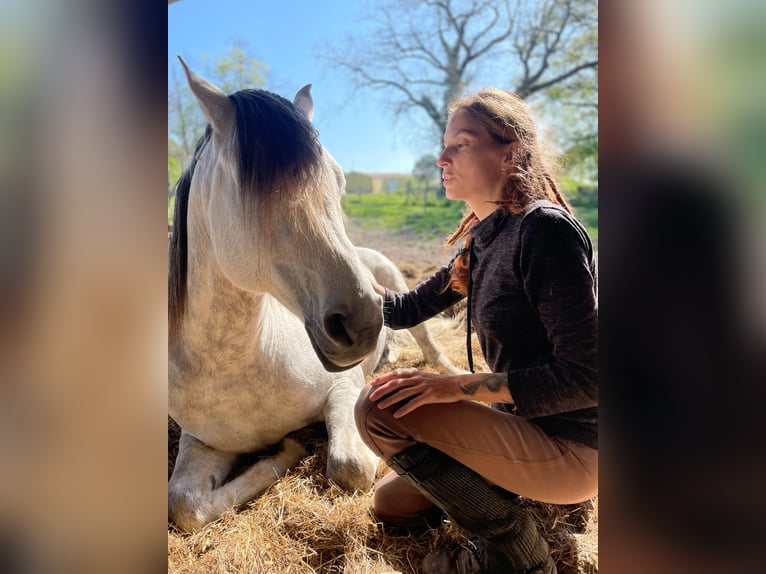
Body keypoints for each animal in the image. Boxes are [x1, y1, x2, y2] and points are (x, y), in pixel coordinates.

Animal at [168, 60, 459, 532]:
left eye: (339, 182)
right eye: (250, 190)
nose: (363, 325)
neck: (238, 361)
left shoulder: (343, 389)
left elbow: (349, 467)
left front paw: (292, 446)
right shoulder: (203, 441)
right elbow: (185, 505)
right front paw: (285, 449)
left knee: (430, 345)